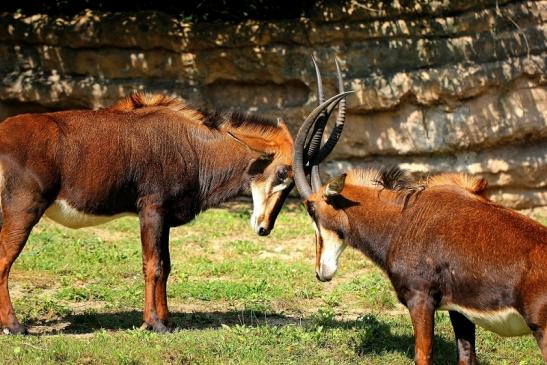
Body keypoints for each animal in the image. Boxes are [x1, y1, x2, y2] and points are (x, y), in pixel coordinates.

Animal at [294, 77, 547, 362]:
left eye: (312, 210)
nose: (320, 272)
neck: (403, 218)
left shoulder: (420, 299)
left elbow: (423, 355)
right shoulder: (459, 310)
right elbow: (465, 356)